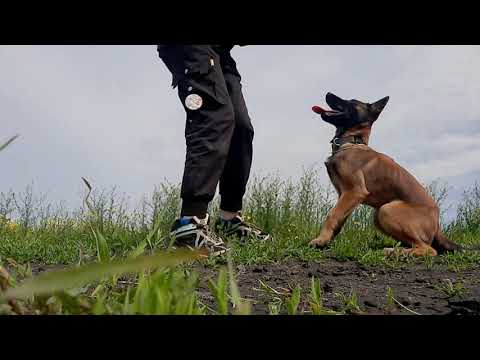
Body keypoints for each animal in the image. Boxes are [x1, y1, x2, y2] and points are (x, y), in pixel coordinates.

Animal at [310, 93, 460, 256]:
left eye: (351, 102)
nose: (328, 93)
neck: (353, 141)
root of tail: (437, 226)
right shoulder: (345, 196)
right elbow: (339, 220)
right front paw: (327, 241)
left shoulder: (354, 191)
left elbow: (332, 215)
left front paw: (320, 240)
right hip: (379, 216)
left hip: (386, 210)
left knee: (428, 249)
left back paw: (393, 252)